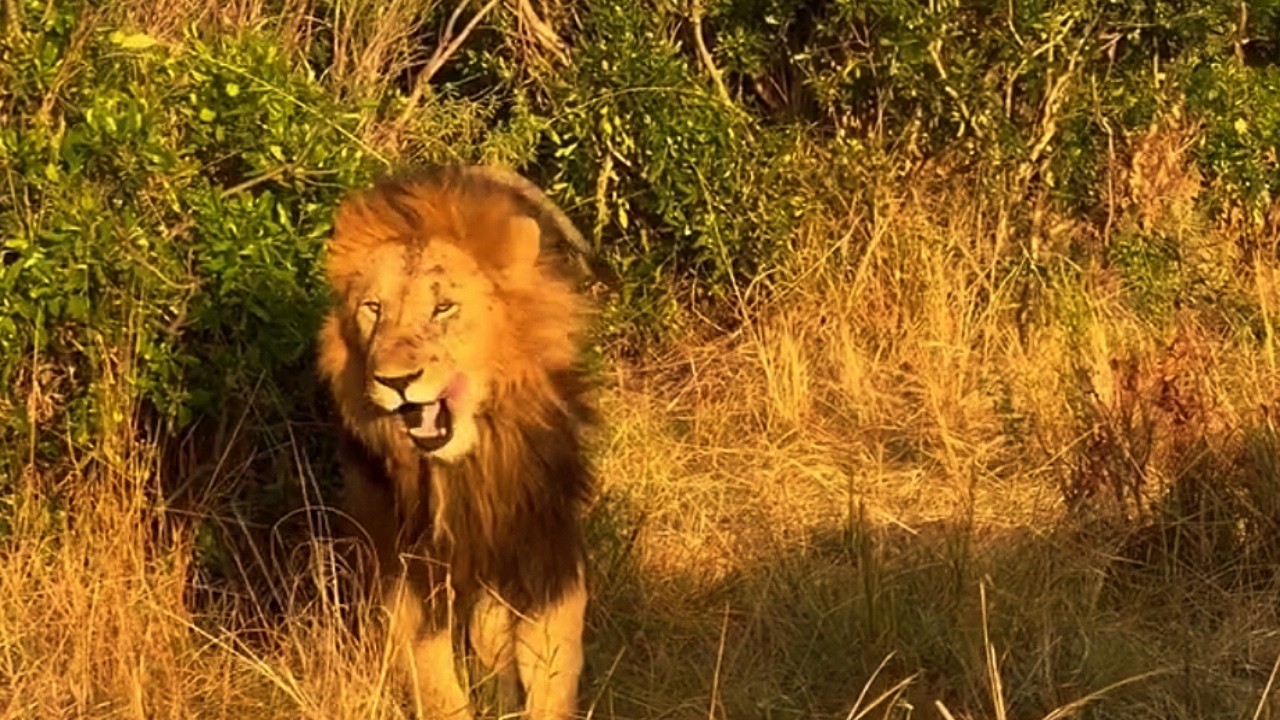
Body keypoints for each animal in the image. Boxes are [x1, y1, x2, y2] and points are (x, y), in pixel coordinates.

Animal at [316, 165, 598, 719]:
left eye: (443, 308)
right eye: (373, 309)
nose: (396, 381)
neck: (463, 466)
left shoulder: (544, 548)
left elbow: (552, 671)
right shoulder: (410, 568)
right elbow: (432, 678)